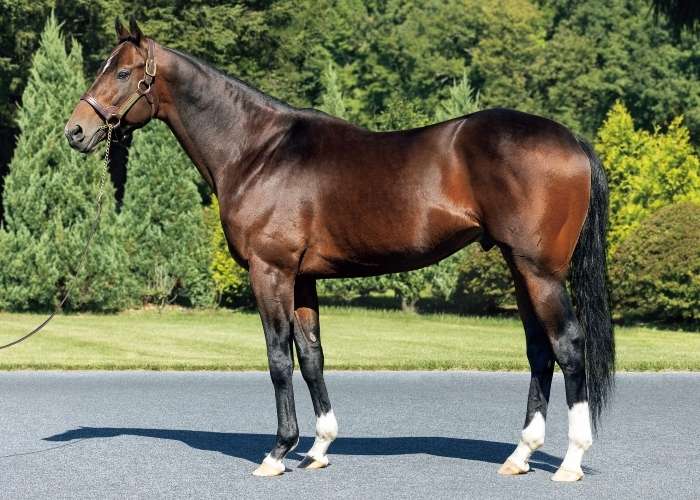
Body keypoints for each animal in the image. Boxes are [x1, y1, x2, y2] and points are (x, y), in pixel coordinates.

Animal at [65, 19, 614, 482]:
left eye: (122, 71)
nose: (75, 131)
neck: (257, 150)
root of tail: (571, 140)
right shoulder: (303, 277)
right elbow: (311, 355)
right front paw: (319, 448)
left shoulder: (271, 271)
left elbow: (277, 357)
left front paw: (278, 452)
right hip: (520, 268)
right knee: (539, 350)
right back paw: (520, 455)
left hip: (540, 272)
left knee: (569, 345)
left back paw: (571, 461)